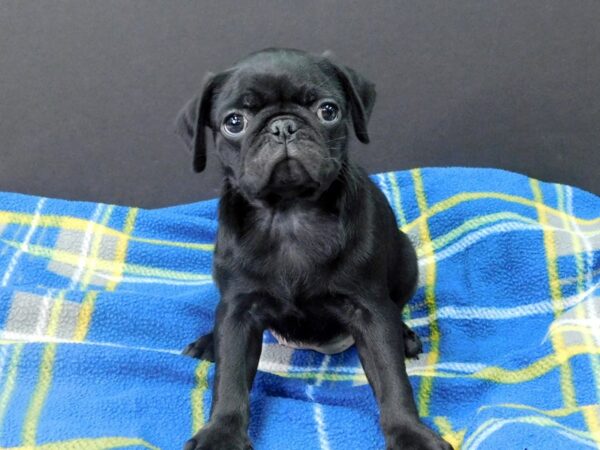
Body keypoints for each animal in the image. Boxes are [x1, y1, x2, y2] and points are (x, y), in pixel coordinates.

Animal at [173, 49, 450, 450]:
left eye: (328, 111)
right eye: (234, 123)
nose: (283, 127)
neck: (290, 214)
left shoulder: (369, 309)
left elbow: (391, 377)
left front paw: (410, 433)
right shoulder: (239, 310)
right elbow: (230, 378)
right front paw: (221, 434)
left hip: (406, 258)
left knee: (396, 310)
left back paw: (405, 336)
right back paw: (209, 342)